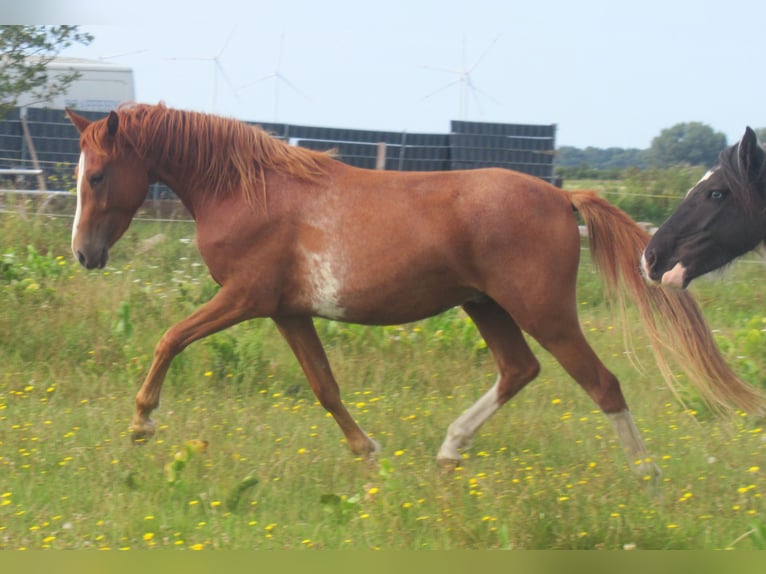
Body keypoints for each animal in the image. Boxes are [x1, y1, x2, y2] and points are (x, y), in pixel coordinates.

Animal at [67, 106, 766, 484]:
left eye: (97, 175)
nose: (84, 255)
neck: (249, 191)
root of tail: (562, 197)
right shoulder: (288, 312)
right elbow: (325, 387)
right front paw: (369, 452)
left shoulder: (245, 298)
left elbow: (169, 338)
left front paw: (141, 423)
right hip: (486, 307)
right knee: (519, 370)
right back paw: (449, 451)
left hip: (543, 312)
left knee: (602, 384)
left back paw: (648, 480)